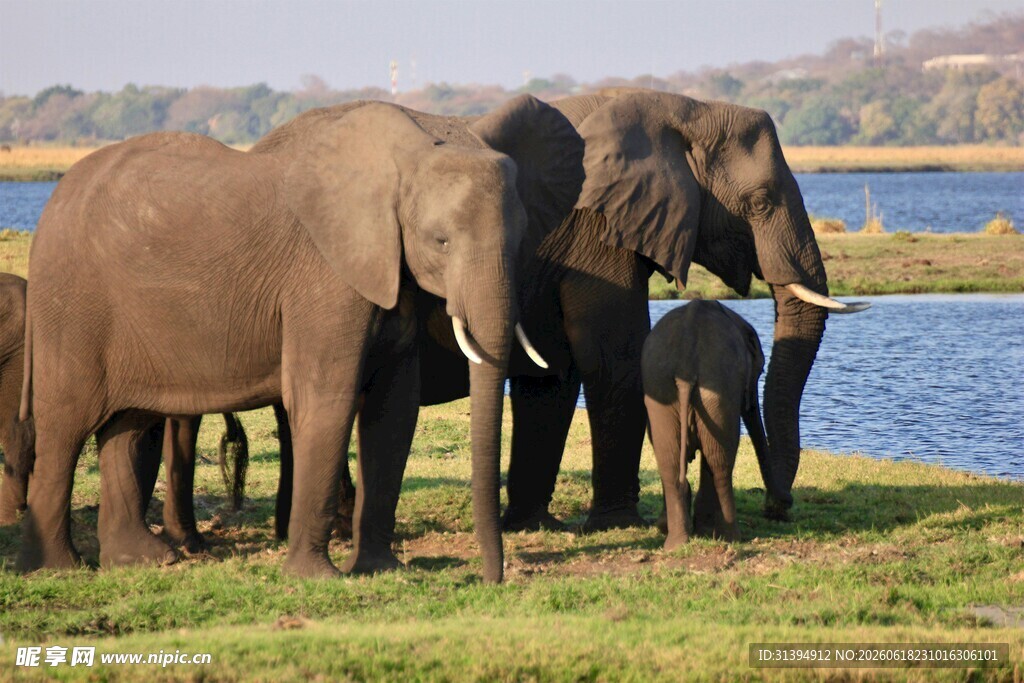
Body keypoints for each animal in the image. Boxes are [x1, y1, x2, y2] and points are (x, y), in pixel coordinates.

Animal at [18, 94, 583, 584]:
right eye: (440, 242)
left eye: (521, 241)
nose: (492, 578)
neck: (413, 149)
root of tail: (48, 209)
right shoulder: (324, 276)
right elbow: (326, 398)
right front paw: (318, 578)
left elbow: (393, 408)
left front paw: (380, 569)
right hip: (71, 306)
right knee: (67, 423)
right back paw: (55, 569)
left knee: (130, 424)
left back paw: (141, 561)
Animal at [642, 300, 788, 547]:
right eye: (759, 372)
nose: (781, 508)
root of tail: (685, 365)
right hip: (717, 389)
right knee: (720, 461)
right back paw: (731, 536)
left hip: (660, 388)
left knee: (670, 461)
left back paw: (676, 543)